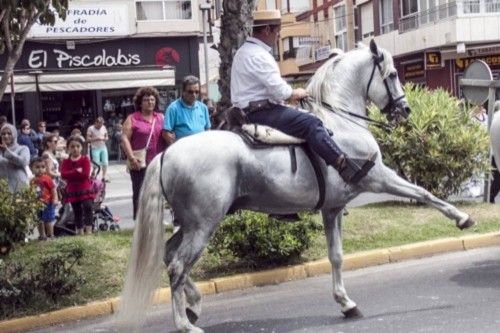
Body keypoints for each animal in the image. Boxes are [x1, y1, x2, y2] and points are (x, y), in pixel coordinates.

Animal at [116, 40, 472, 330]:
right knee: (178, 265)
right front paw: (462, 217)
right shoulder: (377, 176)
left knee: (169, 255)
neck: (339, 123)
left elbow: (336, 256)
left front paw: (346, 303)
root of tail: (166, 154)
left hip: (191, 223)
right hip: (204, 224)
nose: (405, 110)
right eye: (394, 73)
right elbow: (423, 192)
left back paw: (194, 305)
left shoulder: (333, 208)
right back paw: (184, 323)